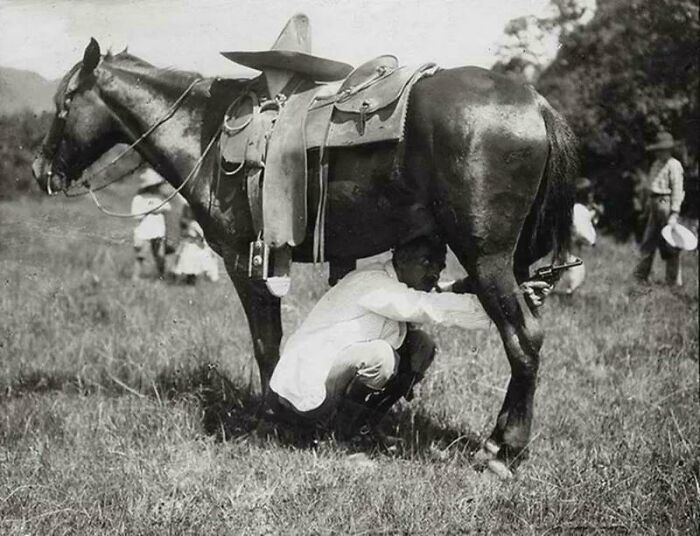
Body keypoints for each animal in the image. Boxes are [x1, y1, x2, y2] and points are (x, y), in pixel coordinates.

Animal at [32, 38, 576, 474]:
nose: (41, 169)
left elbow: (266, 343)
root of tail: (534, 101)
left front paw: (270, 418)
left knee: (524, 339)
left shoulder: (243, 259)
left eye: (64, 103)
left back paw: (502, 448)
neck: (207, 134)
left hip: (487, 259)